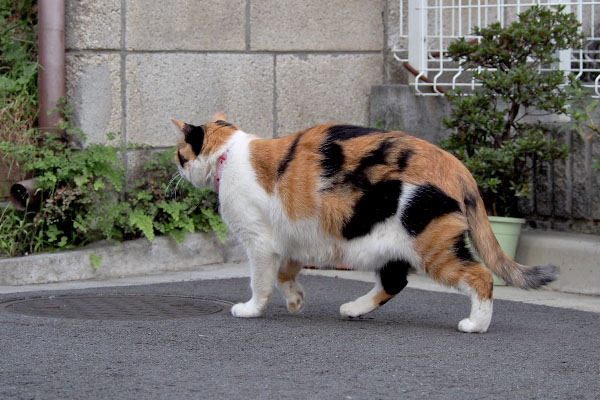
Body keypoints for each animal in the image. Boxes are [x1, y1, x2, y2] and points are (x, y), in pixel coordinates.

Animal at [172, 113, 556, 334]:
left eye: (179, 154)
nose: (177, 169)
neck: (229, 155)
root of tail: (456, 165)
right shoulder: (292, 241)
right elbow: (285, 275)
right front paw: (296, 300)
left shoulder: (260, 242)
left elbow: (262, 281)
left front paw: (251, 309)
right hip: (390, 243)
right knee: (395, 281)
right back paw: (353, 309)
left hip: (430, 242)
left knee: (480, 276)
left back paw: (476, 325)